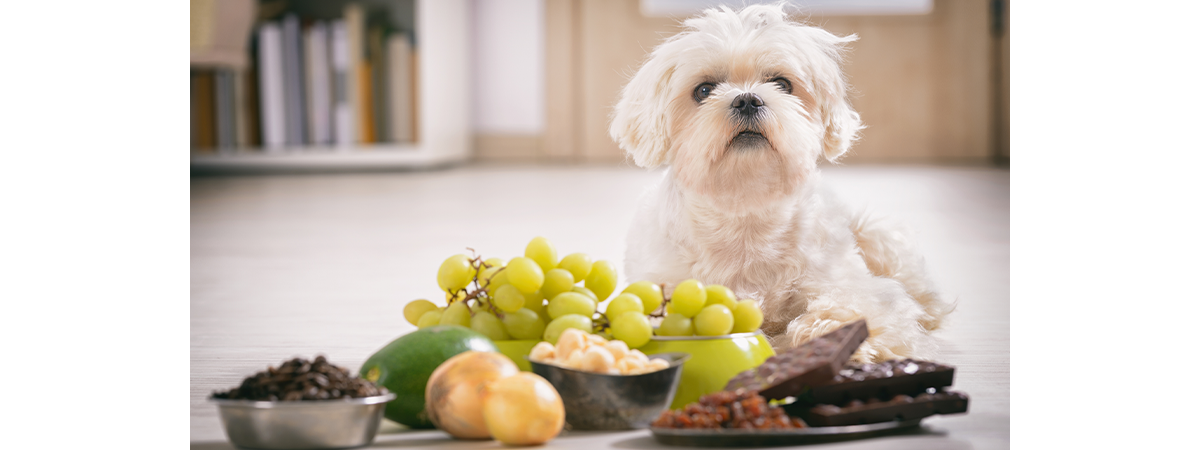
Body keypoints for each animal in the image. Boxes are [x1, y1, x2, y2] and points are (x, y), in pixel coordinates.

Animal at [614, 3, 950, 362]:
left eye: (782, 83)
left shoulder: (856, 287)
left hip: (874, 235)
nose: (747, 99)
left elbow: (854, 307)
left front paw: (830, 335)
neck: (747, 208)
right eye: (704, 90)